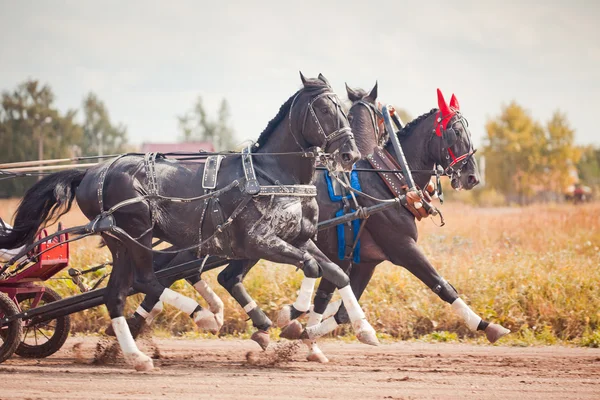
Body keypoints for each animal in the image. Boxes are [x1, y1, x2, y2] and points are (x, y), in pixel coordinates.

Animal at [0, 72, 384, 372]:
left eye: (342, 109)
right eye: (324, 109)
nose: (350, 154)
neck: (272, 174)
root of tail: (93, 172)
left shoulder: (301, 238)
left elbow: (335, 273)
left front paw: (363, 330)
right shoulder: (260, 241)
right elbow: (312, 268)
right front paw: (288, 316)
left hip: (121, 241)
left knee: (116, 294)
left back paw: (137, 356)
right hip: (135, 231)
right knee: (147, 281)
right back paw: (203, 315)